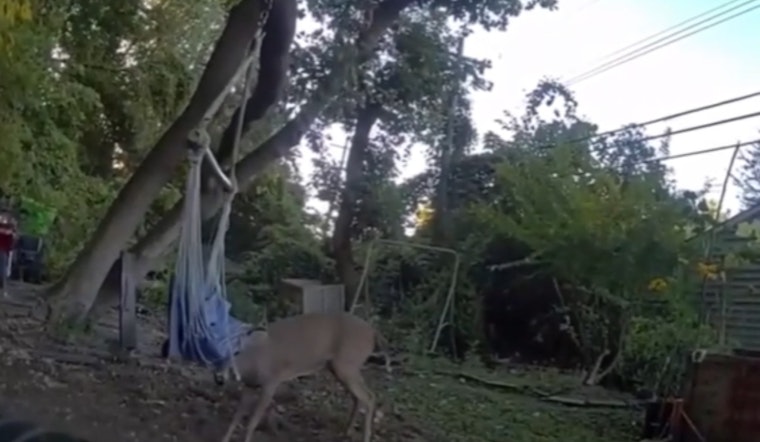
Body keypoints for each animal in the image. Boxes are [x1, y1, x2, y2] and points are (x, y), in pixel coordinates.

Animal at [216, 311, 391, 442]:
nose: (218, 379)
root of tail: (373, 332)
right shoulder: (250, 385)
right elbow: (236, 418)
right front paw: (224, 439)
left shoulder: (270, 382)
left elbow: (251, 422)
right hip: (338, 367)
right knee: (358, 397)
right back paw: (347, 431)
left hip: (347, 364)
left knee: (369, 397)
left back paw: (365, 436)